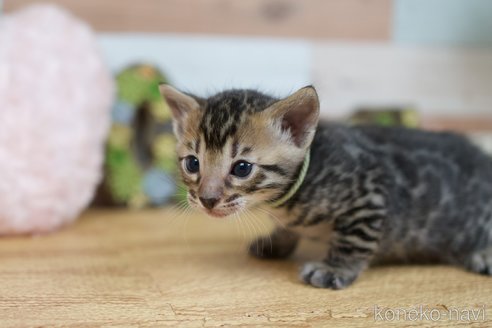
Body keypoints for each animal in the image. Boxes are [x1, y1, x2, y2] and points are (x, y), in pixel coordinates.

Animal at [160, 84, 492, 290]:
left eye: (242, 168)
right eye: (193, 164)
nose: (207, 199)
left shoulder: (369, 192)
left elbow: (353, 240)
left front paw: (335, 269)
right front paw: (277, 241)